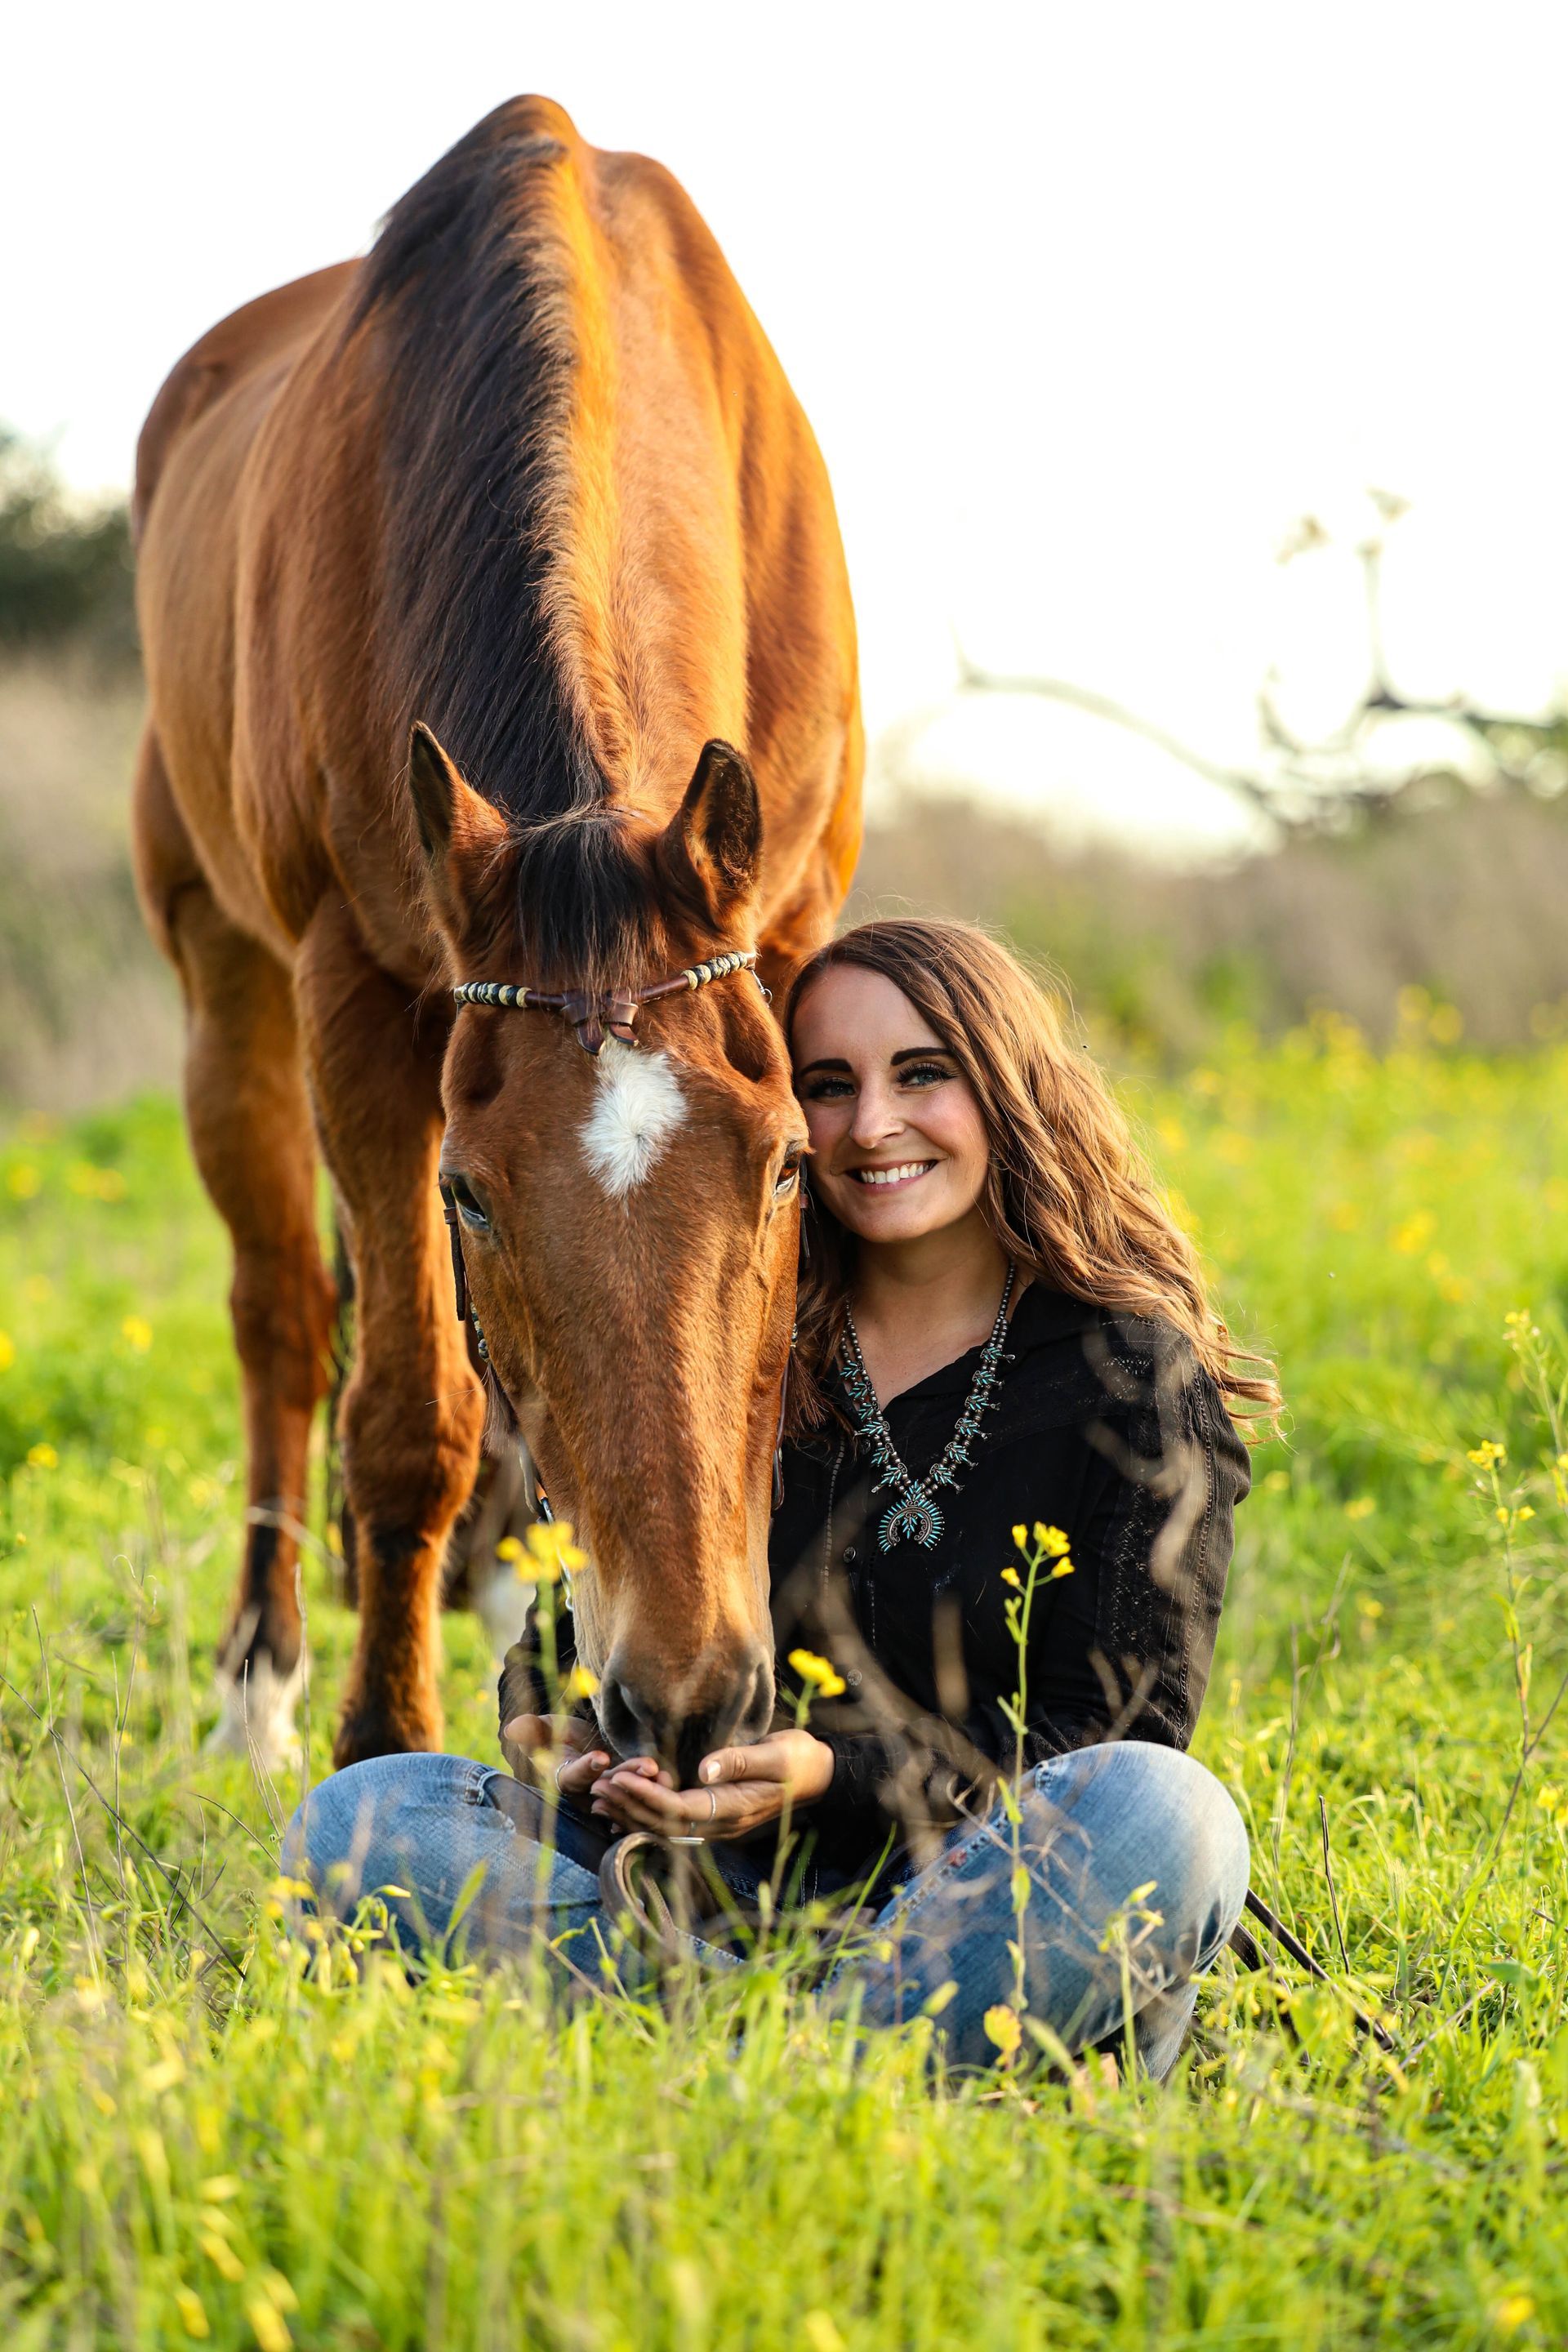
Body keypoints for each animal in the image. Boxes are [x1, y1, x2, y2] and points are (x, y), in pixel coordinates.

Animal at [130, 97, 862, 1781]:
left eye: (790, 1169)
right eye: (468, 1192)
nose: (688, 1696)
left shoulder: (793, 932)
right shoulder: (356, 987)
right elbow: (409, 1410)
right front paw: (378, 1740)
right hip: (226, 982)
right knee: (286, 1318)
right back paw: (263, 1681)